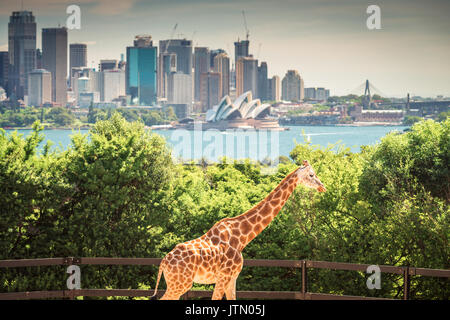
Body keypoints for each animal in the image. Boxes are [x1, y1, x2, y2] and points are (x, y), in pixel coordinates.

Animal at [149, 160, 326, 300]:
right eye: (311, 175)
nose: (323, 187)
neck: (242, 237)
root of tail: (163, 263)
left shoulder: (233, 277)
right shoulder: (224, 276)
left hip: (176, 283)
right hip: (180, 283)